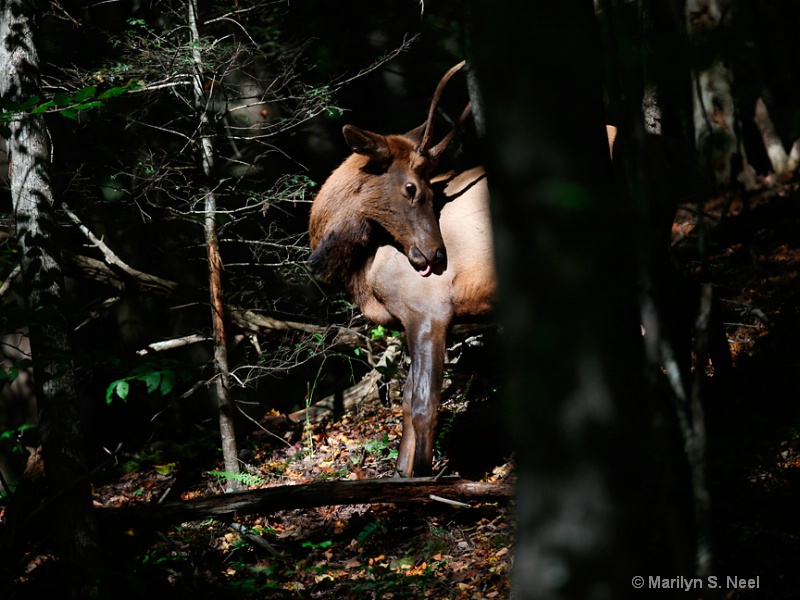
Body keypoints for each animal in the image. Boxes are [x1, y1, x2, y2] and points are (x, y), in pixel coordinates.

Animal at [306, 62, 494, 478]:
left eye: (432, 189)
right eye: (411, 187)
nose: (436, 255)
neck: (360, 274)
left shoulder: (430, 312)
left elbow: (423, 404)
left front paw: (422, 477)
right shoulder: (408, 318)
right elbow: (406, 402)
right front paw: (400, 472)